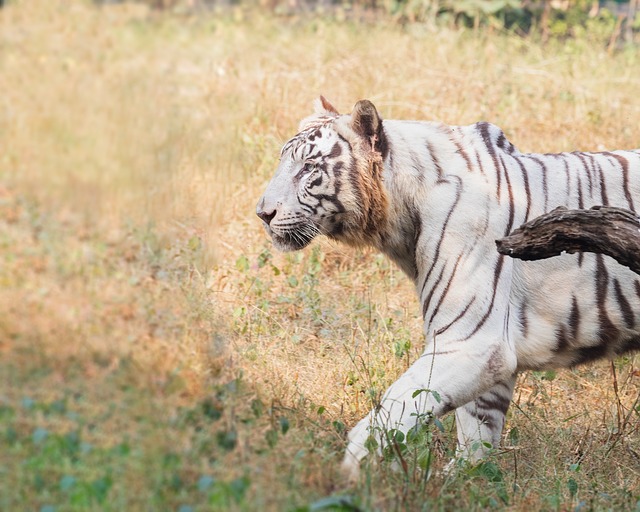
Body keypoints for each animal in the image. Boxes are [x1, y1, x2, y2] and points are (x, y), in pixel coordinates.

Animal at [256, 97, 640, 480]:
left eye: (308, 168)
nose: (262, 213)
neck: (401, 216)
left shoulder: (472, 343)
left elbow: (390, 412)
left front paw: (353, 478)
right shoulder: (487, 352)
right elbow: (476, 434)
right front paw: (457, 480)